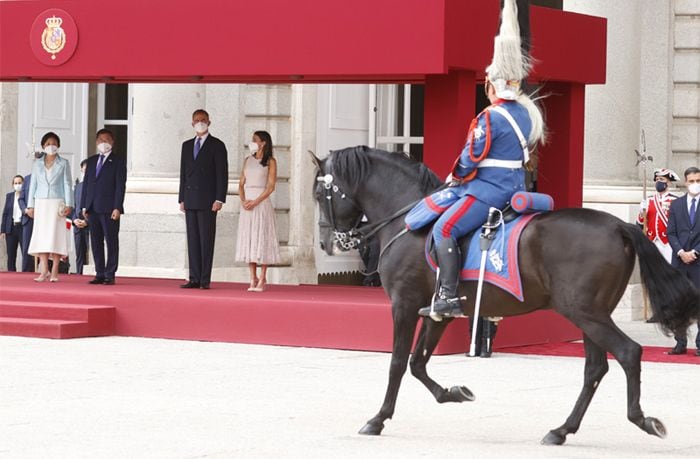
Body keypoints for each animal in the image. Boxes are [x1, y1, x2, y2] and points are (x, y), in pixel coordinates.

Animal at [314, 146, 700, 446]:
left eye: (320, 194)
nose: (326, 243)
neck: (408, 219)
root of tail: (619, 225)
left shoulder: (405, 304)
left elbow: (397, 362)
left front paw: (378, 418)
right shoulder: (438, 310)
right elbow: (418, 362)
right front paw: (453, 393)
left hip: (586, 312)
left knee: (628, 353)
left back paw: (641, 419)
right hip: (591, 314)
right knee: (595, 367)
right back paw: (562, 429)